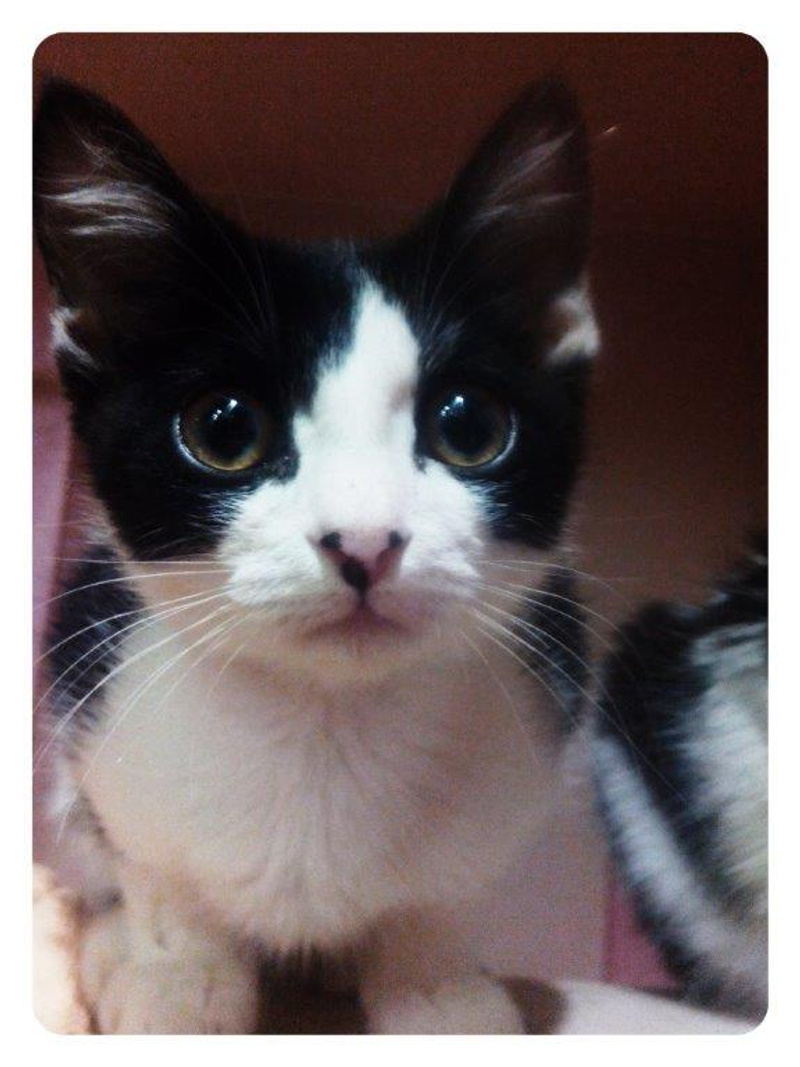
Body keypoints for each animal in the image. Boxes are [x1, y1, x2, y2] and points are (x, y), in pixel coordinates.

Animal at [33, 77, 598, 1034]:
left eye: (469, 427)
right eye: (225, 430)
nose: (365, 542)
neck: (326, 722)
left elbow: (440, 899)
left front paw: (433, 989)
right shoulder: (92, 710)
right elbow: (156, 872)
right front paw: (180, 976)